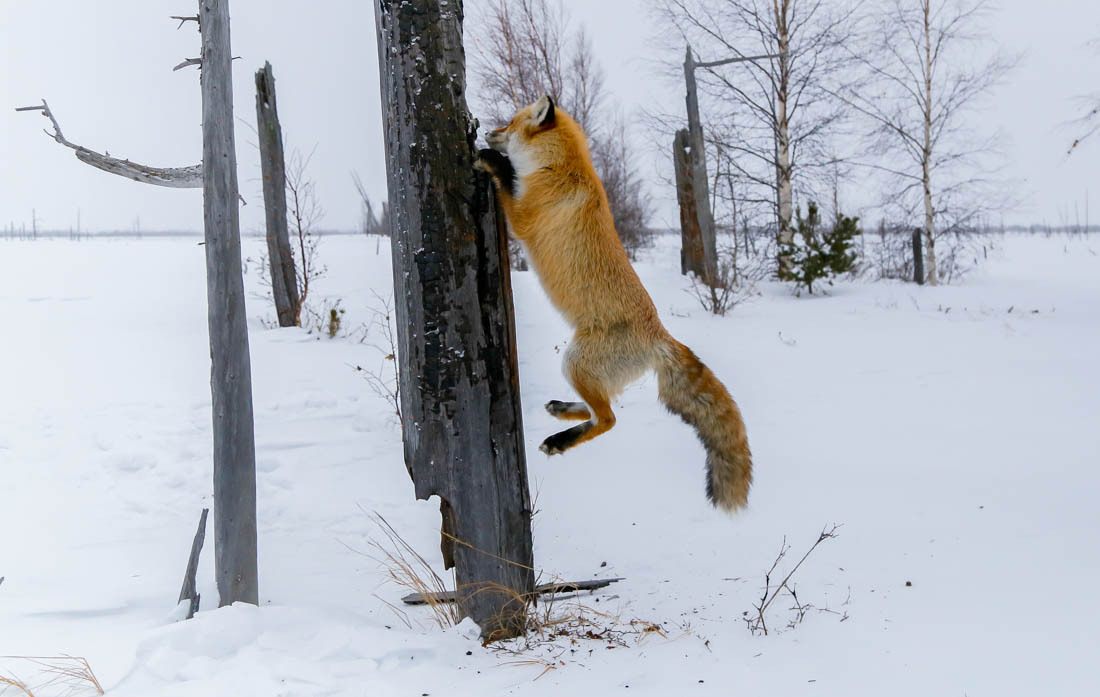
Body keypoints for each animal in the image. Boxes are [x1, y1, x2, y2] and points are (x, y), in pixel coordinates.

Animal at [477, 95, 752, 510]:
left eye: (510, 123)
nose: (487, 131)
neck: (557, 168)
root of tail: (660, 335)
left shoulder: (524, 217)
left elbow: (507, 182)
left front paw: (490, 160)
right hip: (584, 369)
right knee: (604, 408)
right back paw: (563, 413)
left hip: (574, 360)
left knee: (608, 419)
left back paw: (560, 441)